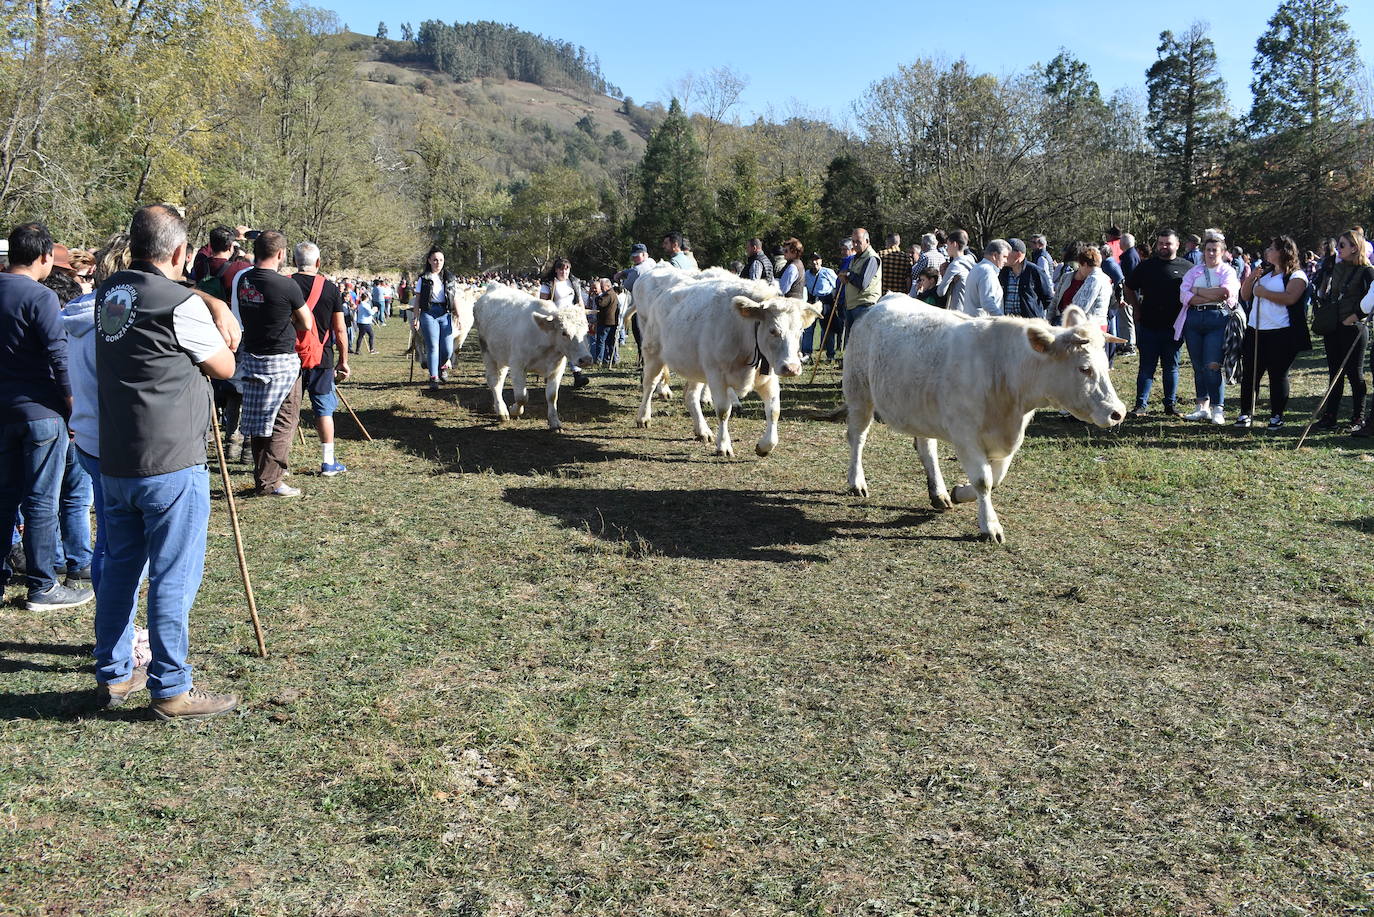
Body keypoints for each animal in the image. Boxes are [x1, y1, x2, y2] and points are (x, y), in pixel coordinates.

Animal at [475, 284, 593, 431]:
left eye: (586, 331)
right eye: (564, 333)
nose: (586, 359)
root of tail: (494, 286)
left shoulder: (557, 369)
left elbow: (552, 396)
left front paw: (555, 422)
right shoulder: (517, 366)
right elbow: (522, 396)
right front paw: (514, 410)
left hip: (501, 354)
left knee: (500, 379)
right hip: (487, 351)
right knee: (493, 381)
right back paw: (502, 411)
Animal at [632, 263, 813, 456]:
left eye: (800, 331)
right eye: (773, 330)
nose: (791, 368)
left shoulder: (768, 377)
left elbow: (774, 410)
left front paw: (765, 446)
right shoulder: (716, 375)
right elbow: (723, 411)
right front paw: (724, 445)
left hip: (696, 367)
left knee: (690, 395)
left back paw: (702, 431)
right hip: (653, 353)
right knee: (649, 384)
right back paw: (643, 417)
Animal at [846, 298, 1126, 541]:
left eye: (1105, 364)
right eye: (1084, 368)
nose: (1118, 412)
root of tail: (882, 303)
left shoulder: (1009, 438)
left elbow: (996, 477)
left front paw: (959, 493)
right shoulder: (965, 435)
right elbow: (984, 480)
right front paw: (990, 525)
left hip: (920, 409)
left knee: (926, 448)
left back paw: (939, 493)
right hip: (859, 393)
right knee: (857, 437)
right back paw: (856, 482)